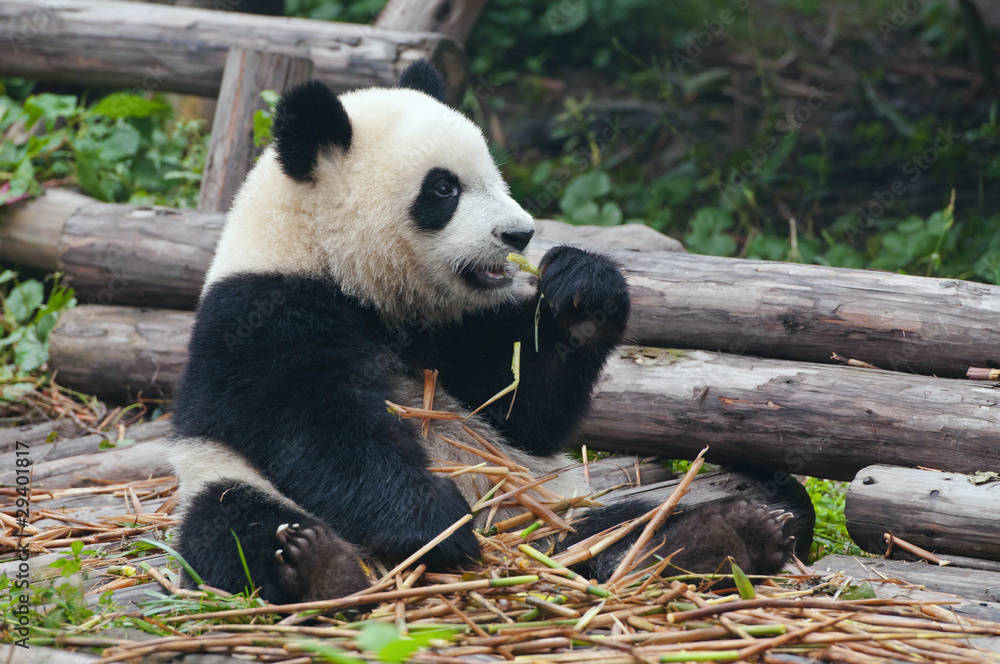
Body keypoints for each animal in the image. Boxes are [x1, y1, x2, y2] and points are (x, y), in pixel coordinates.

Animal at [167, 60, 813, 603]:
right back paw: (320, 567)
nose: (519, 234)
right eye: (443, 189)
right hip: (219, 477)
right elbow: (317, 429)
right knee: (233, 523)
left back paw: (723, 535)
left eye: (493, 175)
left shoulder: (453, 330)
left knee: (617, 525)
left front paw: (583, 294)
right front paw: (436, 525)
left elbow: (522, 407)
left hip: (546, 508)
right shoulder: (261, 315)